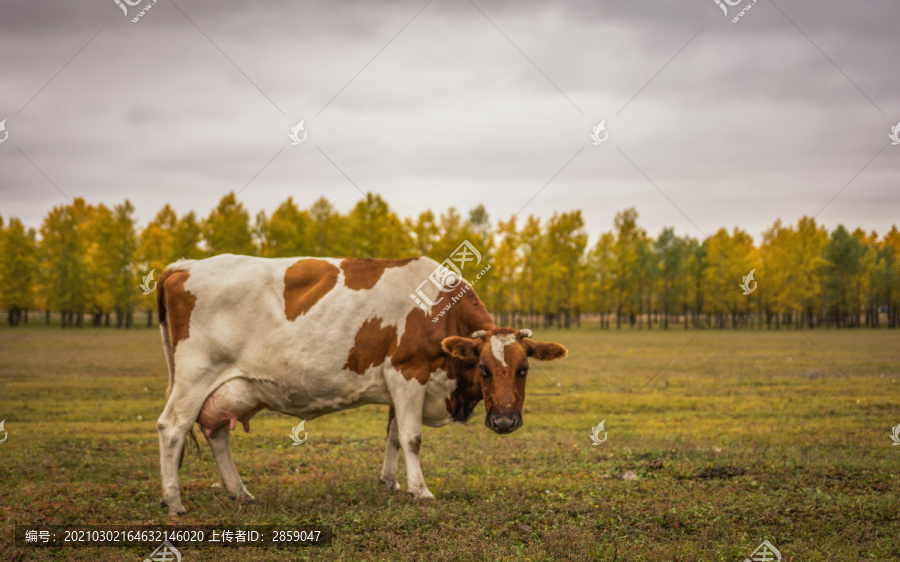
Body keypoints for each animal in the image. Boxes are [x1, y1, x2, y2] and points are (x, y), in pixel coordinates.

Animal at [154, 253, 564, 512]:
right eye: (482, 368)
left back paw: (240, 493)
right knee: (172, 428)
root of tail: (184, 266)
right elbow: (411, 437)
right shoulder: (408, 372)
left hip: (227, 387)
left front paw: (391, 482)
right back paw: (174, 501)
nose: (504, 421)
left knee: (216, 432)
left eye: (524, 368)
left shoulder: (401, 384)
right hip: (194, 376)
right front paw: (420, 490)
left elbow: (393, 434)